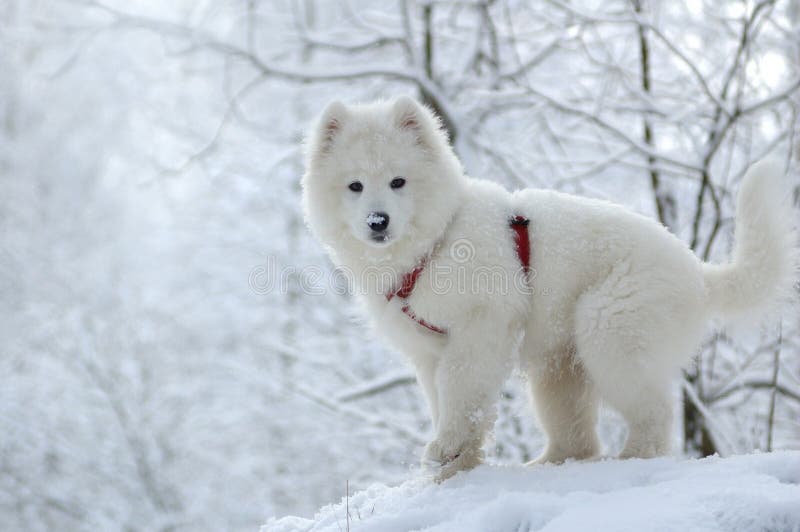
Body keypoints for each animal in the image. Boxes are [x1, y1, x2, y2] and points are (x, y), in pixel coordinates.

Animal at [304, 95, 796, 482]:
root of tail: (698, 271)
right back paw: (546, 465)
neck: (435, 244)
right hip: (559, 370)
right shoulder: (428, 350)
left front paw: (447, 452)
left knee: (653, 414)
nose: (377, 221)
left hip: (611, 334)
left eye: (398, 181)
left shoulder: (481, 329)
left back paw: (631, 459)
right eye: (355, 186)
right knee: (579, 439)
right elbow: (446, 400)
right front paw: (455, 466)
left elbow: (463, 393)